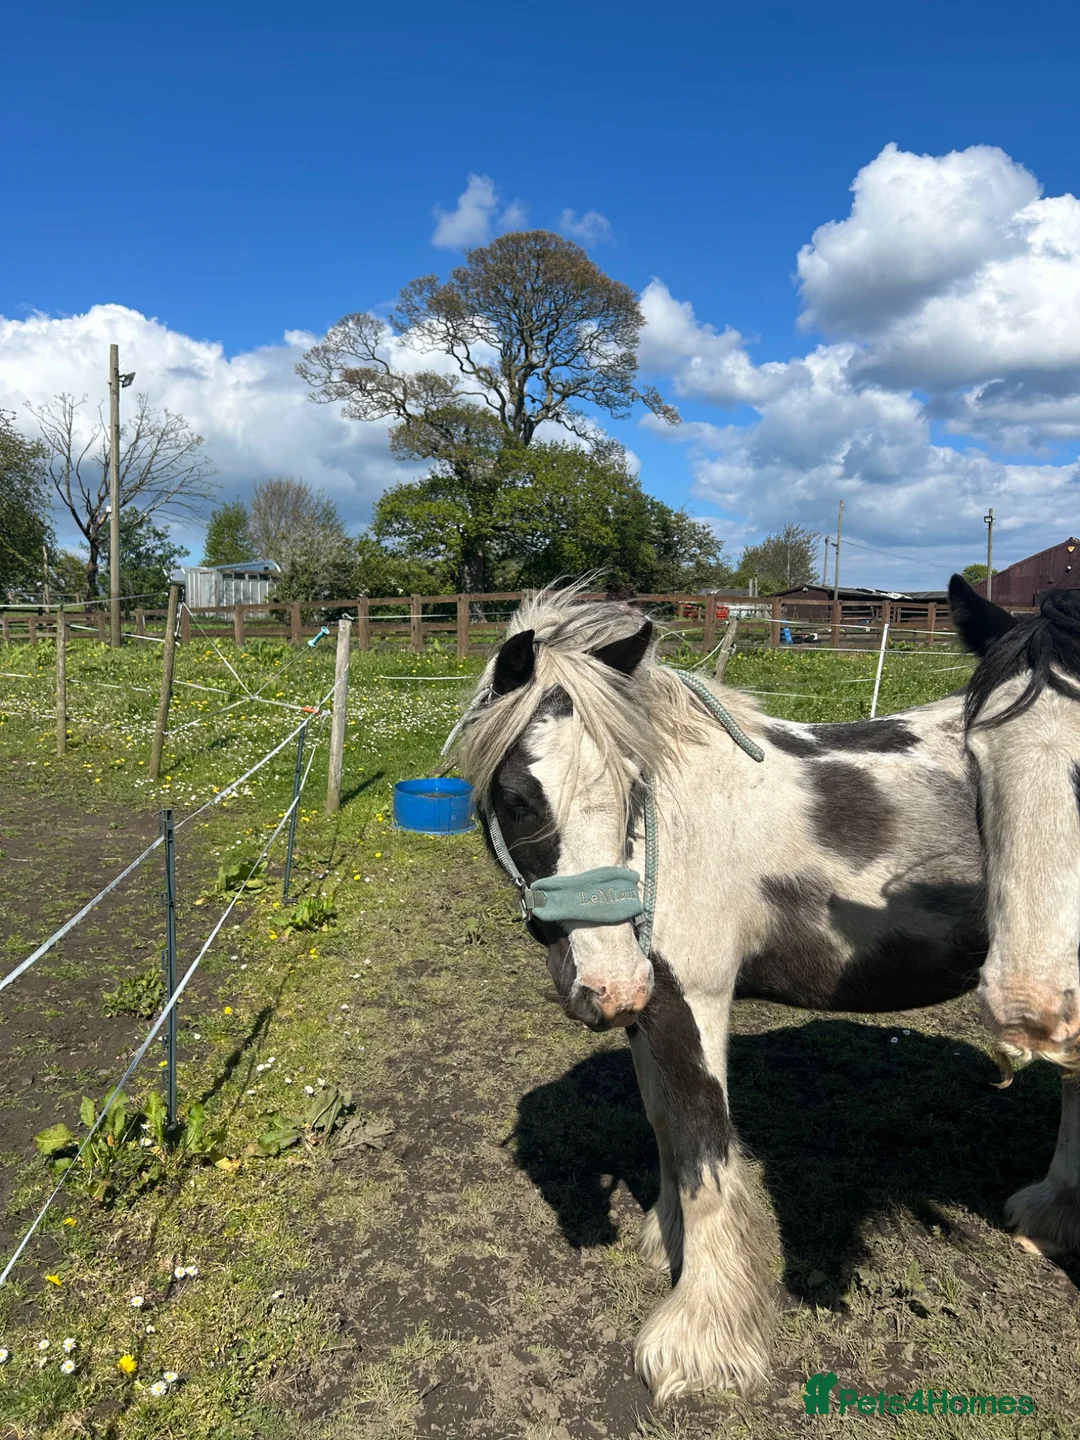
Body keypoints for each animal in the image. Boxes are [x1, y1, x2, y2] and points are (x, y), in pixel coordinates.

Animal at [448, 583, 1060, 1401]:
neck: (667, 839)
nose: (607, 985)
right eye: (517, 797)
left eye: (632, 786)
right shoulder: (652, 1008)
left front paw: (701, 1341)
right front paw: (665, 1239)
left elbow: (704, 1145)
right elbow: (665, 1127)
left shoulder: (692, 1000)